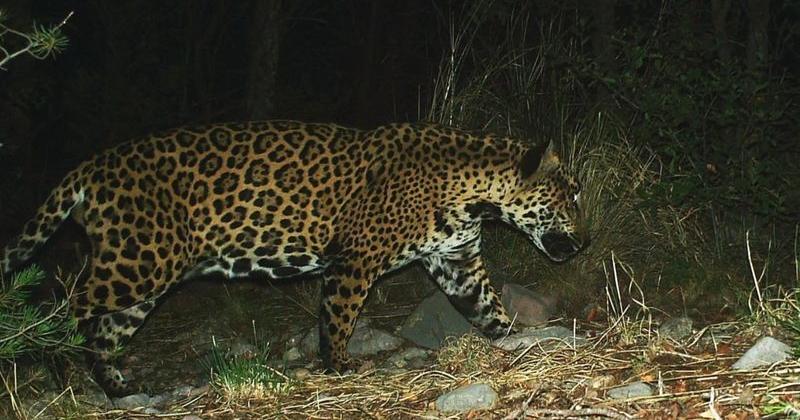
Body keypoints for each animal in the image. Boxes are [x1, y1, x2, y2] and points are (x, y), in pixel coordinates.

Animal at [1, 120, 588, 396]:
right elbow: (340, 316)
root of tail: (91, 167)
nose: (584, 242)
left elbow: (488, 308)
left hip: (143, 276)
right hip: (138, 261)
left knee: (105, 332)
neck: (474, 192)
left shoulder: (458, 260)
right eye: (572, 194)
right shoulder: (356, 259)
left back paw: (122, 389)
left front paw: (517, 338)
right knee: (63, 305)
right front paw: (340, 364)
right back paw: (53, 363)